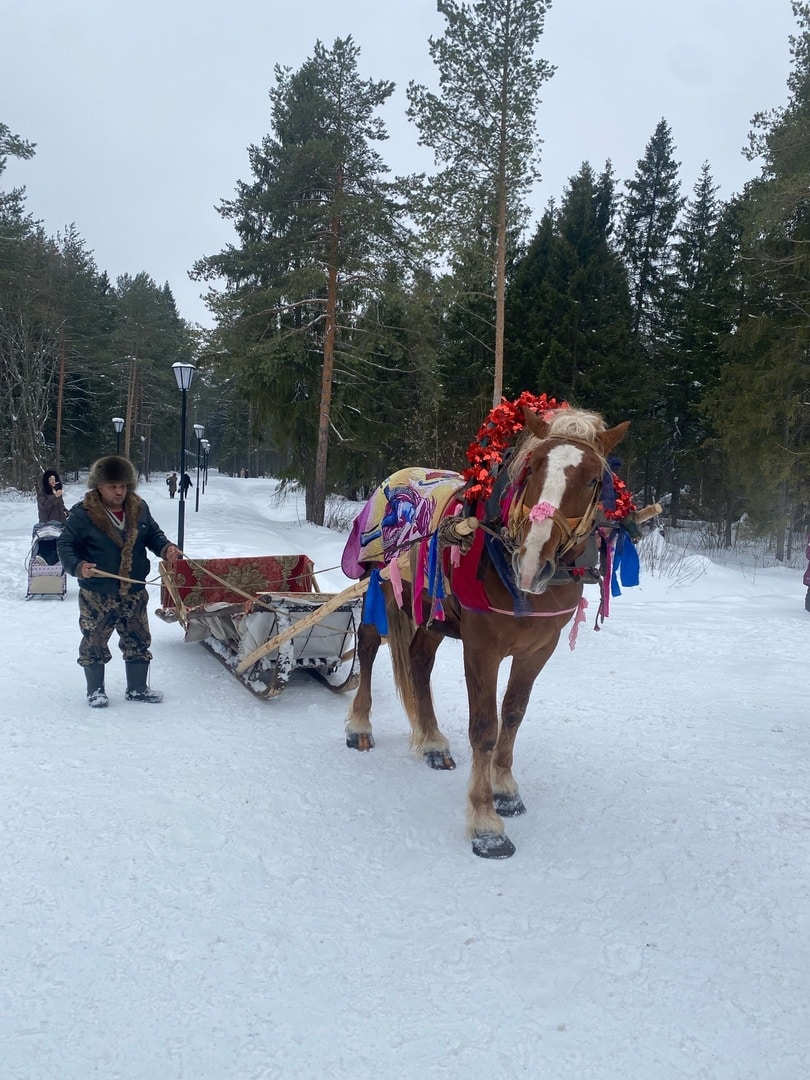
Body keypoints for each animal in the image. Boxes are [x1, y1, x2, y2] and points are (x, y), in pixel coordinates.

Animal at [339, 401, 630, 855]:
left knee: (419, 660)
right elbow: (484, 728)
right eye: (533, 467)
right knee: (369, 646)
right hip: (380, 584)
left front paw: (505, 788)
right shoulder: (481, 648)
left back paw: (433, 742)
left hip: (435, 612)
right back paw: (360, 726)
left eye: (593, 480)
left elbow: (512, 715)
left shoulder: (539, 649)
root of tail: (397, 476)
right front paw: (485, 822)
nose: (532, 563)